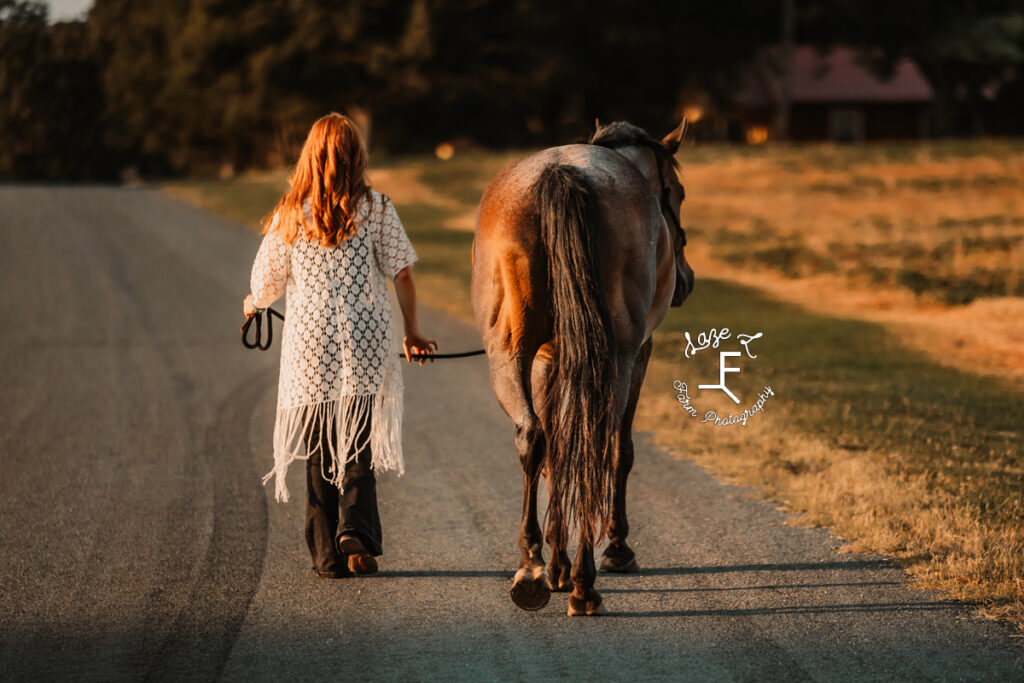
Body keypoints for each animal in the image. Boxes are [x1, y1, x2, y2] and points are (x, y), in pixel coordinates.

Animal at [468, 120, 692, 618]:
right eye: (679, 193)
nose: (686, 281)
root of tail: (561, 174)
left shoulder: (548, 360)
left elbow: (554, 453)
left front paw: (556, 562)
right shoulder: (639, 354)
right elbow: (619, 450)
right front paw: (616, 549)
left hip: (508, 356)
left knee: (533, 437)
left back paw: (533, 567)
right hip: (618, 357)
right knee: (595, 444)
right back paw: (585, 584)